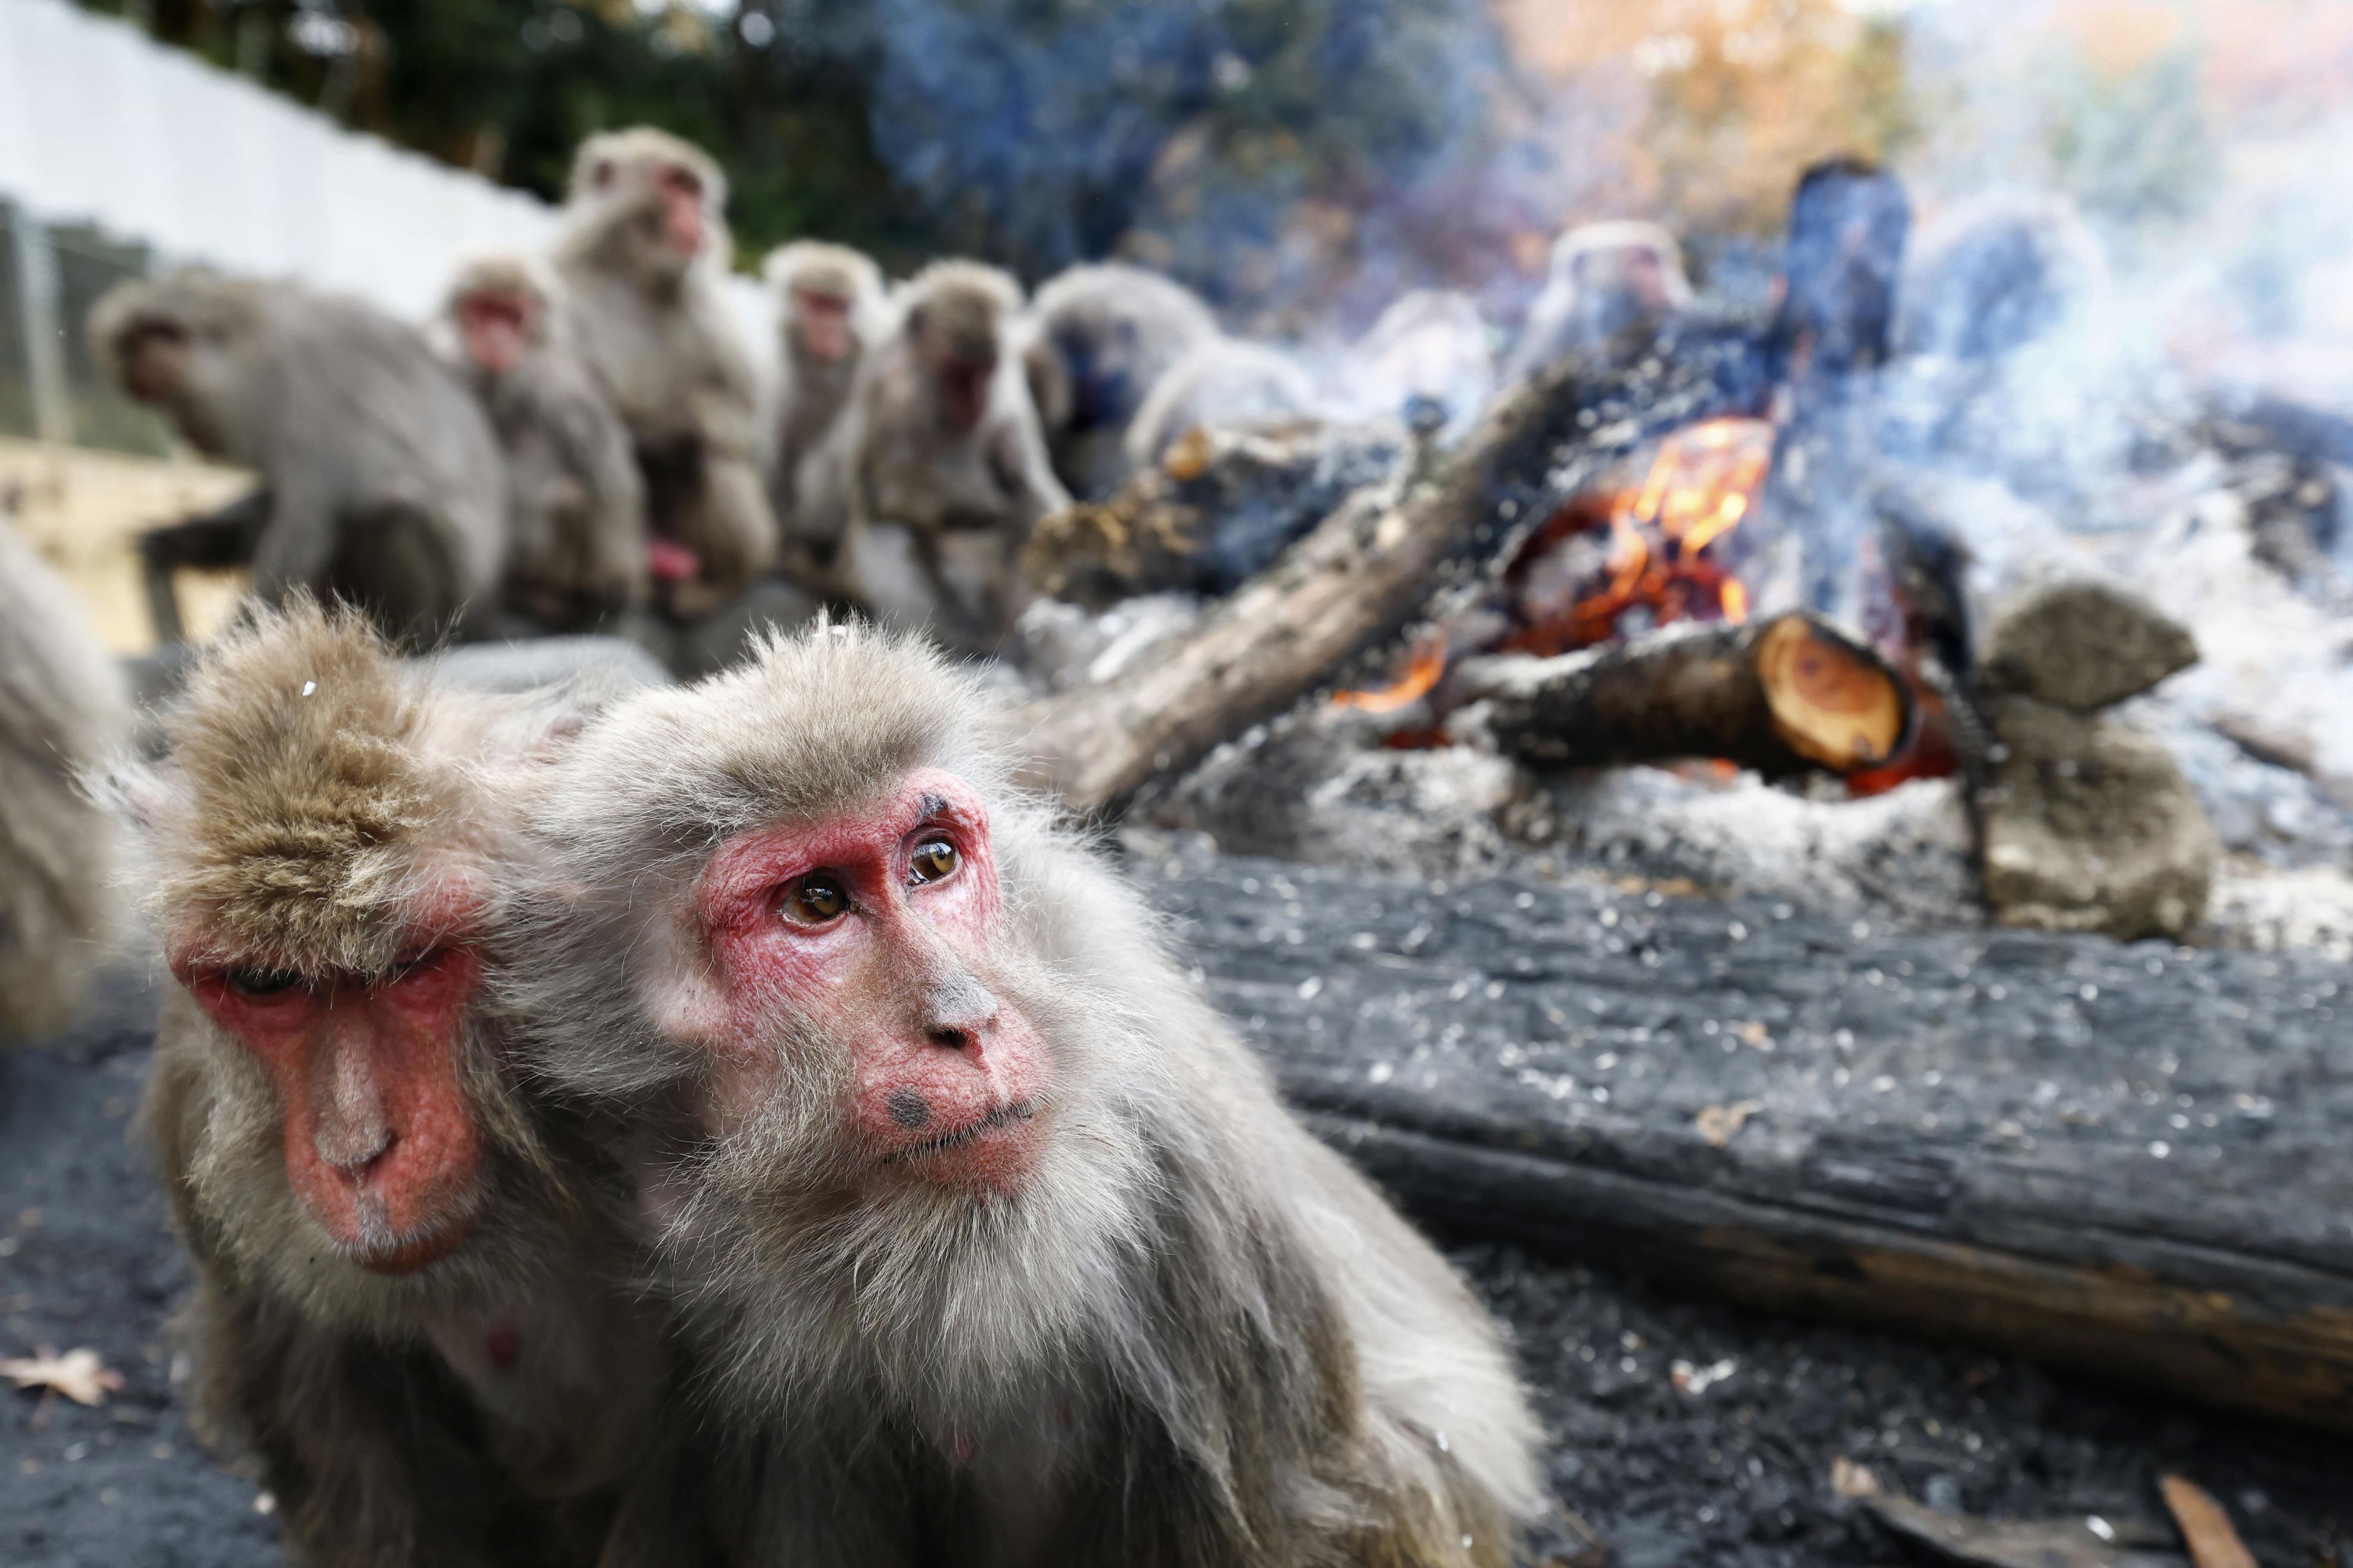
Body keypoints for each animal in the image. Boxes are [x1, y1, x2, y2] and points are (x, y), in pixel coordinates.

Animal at [90, 271, 510, 649]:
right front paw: (172, 540)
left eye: (172, 402)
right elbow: (272, 498)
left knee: (396, 511)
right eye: (157, 404)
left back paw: (409, 636)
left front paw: (237, 639)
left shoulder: (304, 403)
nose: (180, 431)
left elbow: (304, 527)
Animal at [436, 254, 651, 632]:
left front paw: (616, 582)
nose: (497, 338)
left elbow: (607, 469)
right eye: (484, 310)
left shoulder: (558, 382)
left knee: (574, 497)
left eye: (512, 316)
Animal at [554, 127, 777, 620]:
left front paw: (672, 428)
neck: (637, 274)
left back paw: (713, 587)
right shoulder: (560, 286)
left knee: (721, 455)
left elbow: (739, 416)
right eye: (675, 184)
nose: (697, 216)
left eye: (695, 189)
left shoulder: (710, 313)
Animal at [813, 260, 1072, 653]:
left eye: (987, 370)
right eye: (960, 374)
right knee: (890, 531)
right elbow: (890, 488)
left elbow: (1027, 475)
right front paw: (983, 504)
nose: (979, 401)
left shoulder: (1008, 382)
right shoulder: (886, 387)